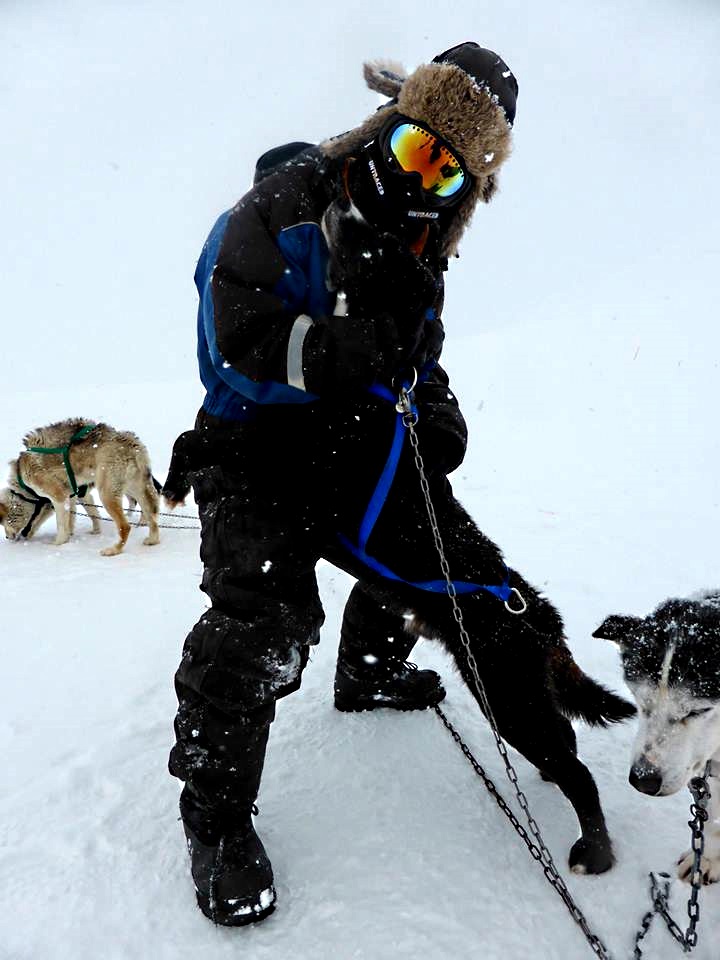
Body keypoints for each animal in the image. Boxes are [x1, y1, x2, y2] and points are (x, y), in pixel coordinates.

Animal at [0, 418, 160, 556]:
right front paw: (86, 532)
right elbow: (87, 515)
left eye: (3, 522)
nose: (7, 538)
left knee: (125, 526)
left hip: (107, 494)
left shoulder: (58, 496)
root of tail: (131, 443)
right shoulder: (76, 494)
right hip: (136, 489)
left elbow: (61, 525)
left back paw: (113, 550)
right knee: (151, 515)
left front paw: (57, 543)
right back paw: (152, 540)